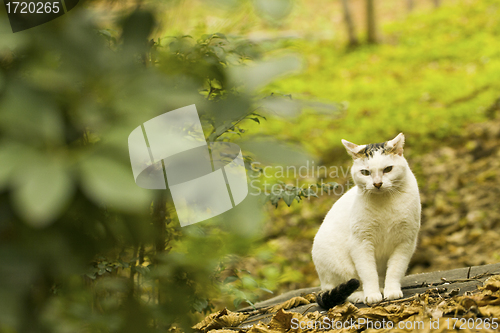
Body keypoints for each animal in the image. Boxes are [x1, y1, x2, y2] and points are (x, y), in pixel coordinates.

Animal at [312, 132, 422, 306]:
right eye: (365, 172)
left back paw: (382, 288)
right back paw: (361, 295)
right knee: (344, 289)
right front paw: (372, 294)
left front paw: (391, 290)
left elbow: (395, 270)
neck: (385, 203)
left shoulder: (405, 242)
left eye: (388, 169)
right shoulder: (361, 243)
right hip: (340, 266)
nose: (377, 184)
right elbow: (369, 274)